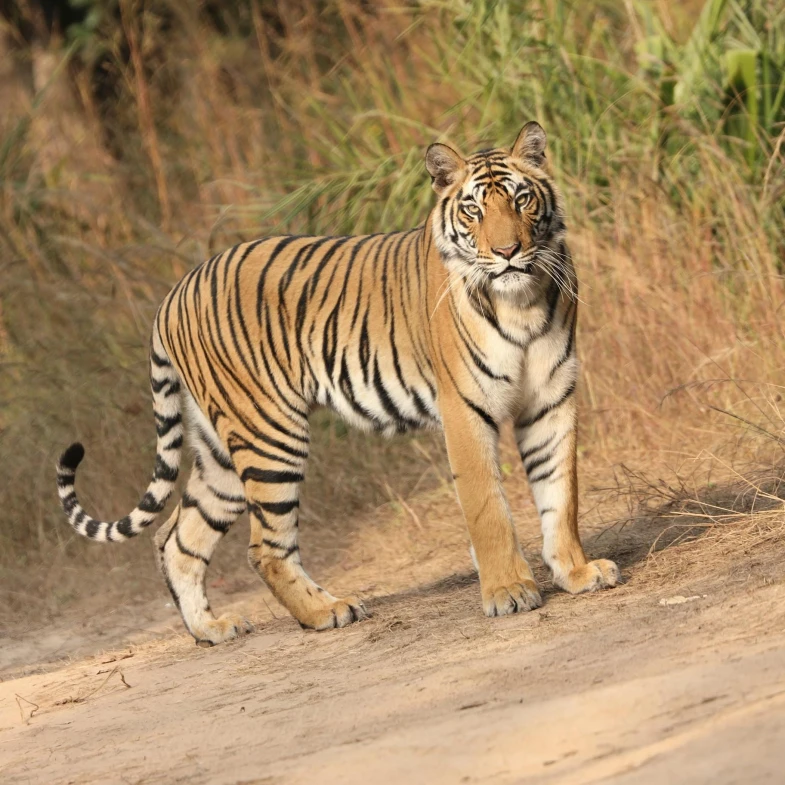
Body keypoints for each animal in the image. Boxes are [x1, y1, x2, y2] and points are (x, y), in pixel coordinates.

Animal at [56, 121, 620, 646]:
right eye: (473, 211)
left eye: (522, 200)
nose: (507, 252)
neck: (522, 300)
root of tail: (173, 293)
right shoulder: (464, 409)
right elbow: (488, 507)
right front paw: (508, 592)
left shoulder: (551, 399)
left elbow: (560, 493)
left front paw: (577, 572)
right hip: (269, 434)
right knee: (264, 548)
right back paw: (327, 611)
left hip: (220, 453)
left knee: (177, 539)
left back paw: (213, 629)